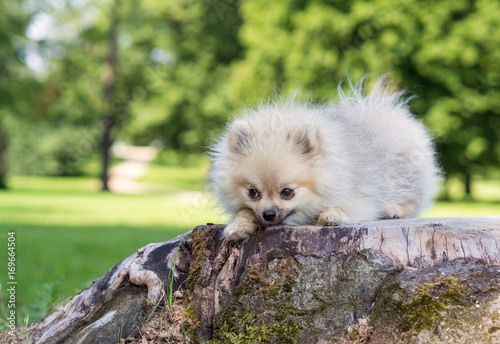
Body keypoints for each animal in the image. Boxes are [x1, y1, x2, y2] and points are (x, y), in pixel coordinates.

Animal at [209, 78, 440, 241]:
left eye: (287, 192)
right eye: (253, 192)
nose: (268, 214)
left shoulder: (362, 198)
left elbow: (345, 207)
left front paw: (331, 214)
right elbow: (245, 211)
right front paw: (238, 225)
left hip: (406, 175)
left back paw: (393, 210)